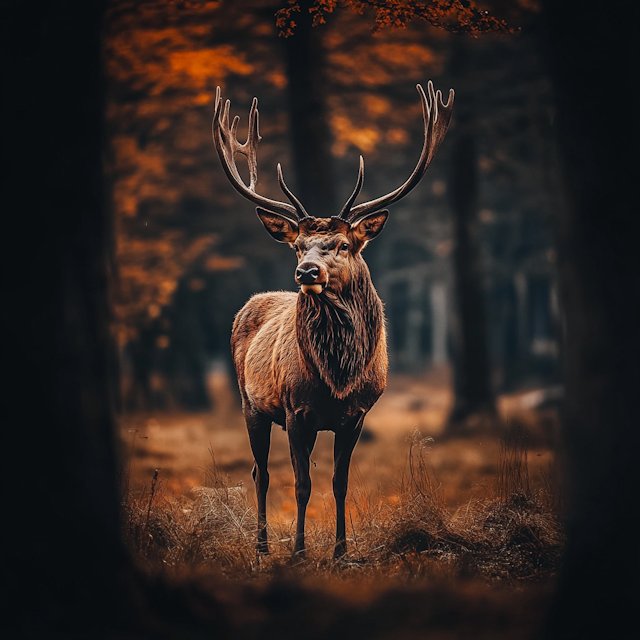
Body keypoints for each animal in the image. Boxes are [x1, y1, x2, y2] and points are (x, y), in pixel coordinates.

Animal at [212, 81, 452, 560]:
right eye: (297, 245)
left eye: (342, 244)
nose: (307, 272)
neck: (337, 376)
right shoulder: (295, 410)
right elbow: (302, 485)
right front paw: (299, 551)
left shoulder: (356, 414)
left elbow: (340, 482)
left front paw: (342, 550)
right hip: (251, 404)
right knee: (261, 472)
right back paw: (263, 545)